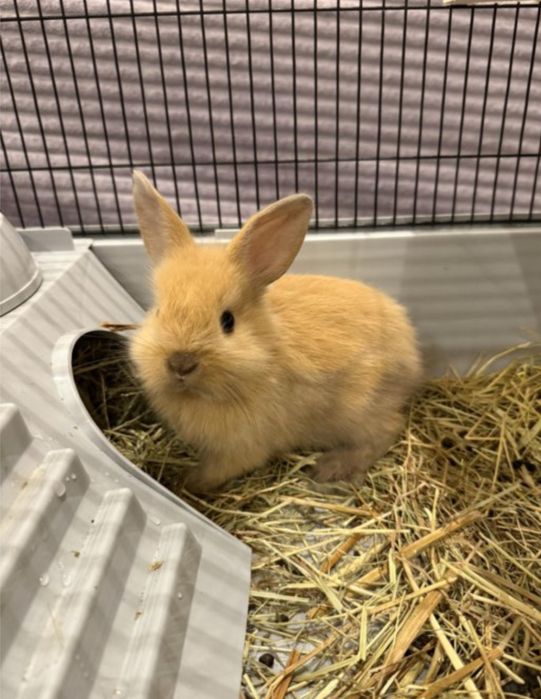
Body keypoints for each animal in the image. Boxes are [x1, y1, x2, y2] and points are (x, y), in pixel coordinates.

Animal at [130, 170, 422, 493]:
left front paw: (185, 482)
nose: (181, 363)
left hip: (361, 411)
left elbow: (213, 472)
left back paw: (330, 468)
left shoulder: (242, 448)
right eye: (158, 311)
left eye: (228, 321)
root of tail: (411, 355)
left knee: (387, 430)